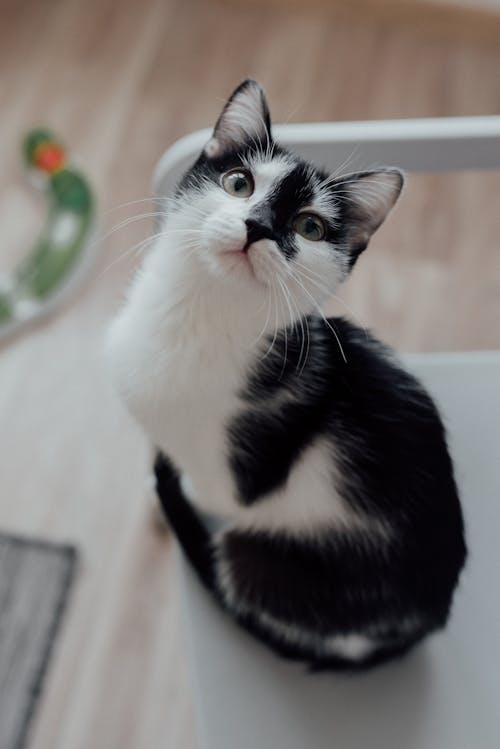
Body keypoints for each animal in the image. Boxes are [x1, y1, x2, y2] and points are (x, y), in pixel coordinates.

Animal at [106, 80, 468, 668]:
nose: (257, 227)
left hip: (274, 567)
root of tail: (424, 625)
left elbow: (209, 492)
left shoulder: (242, 475)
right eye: (238, 182)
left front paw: (171, 494)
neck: (199, 317)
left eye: (310, 227)